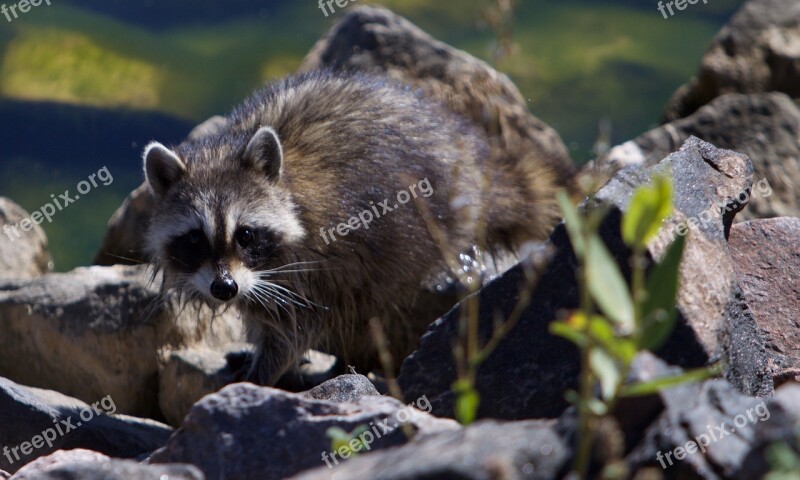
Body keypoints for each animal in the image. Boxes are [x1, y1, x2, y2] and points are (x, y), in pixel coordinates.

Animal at [144, 70, 564, 386]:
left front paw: (263, 372)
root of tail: (472, 161)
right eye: (195, 239)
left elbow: (298, 325)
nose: (224, 288)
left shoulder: (323, 255)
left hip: (413, 233)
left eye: (245, 235)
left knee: (370, 302)